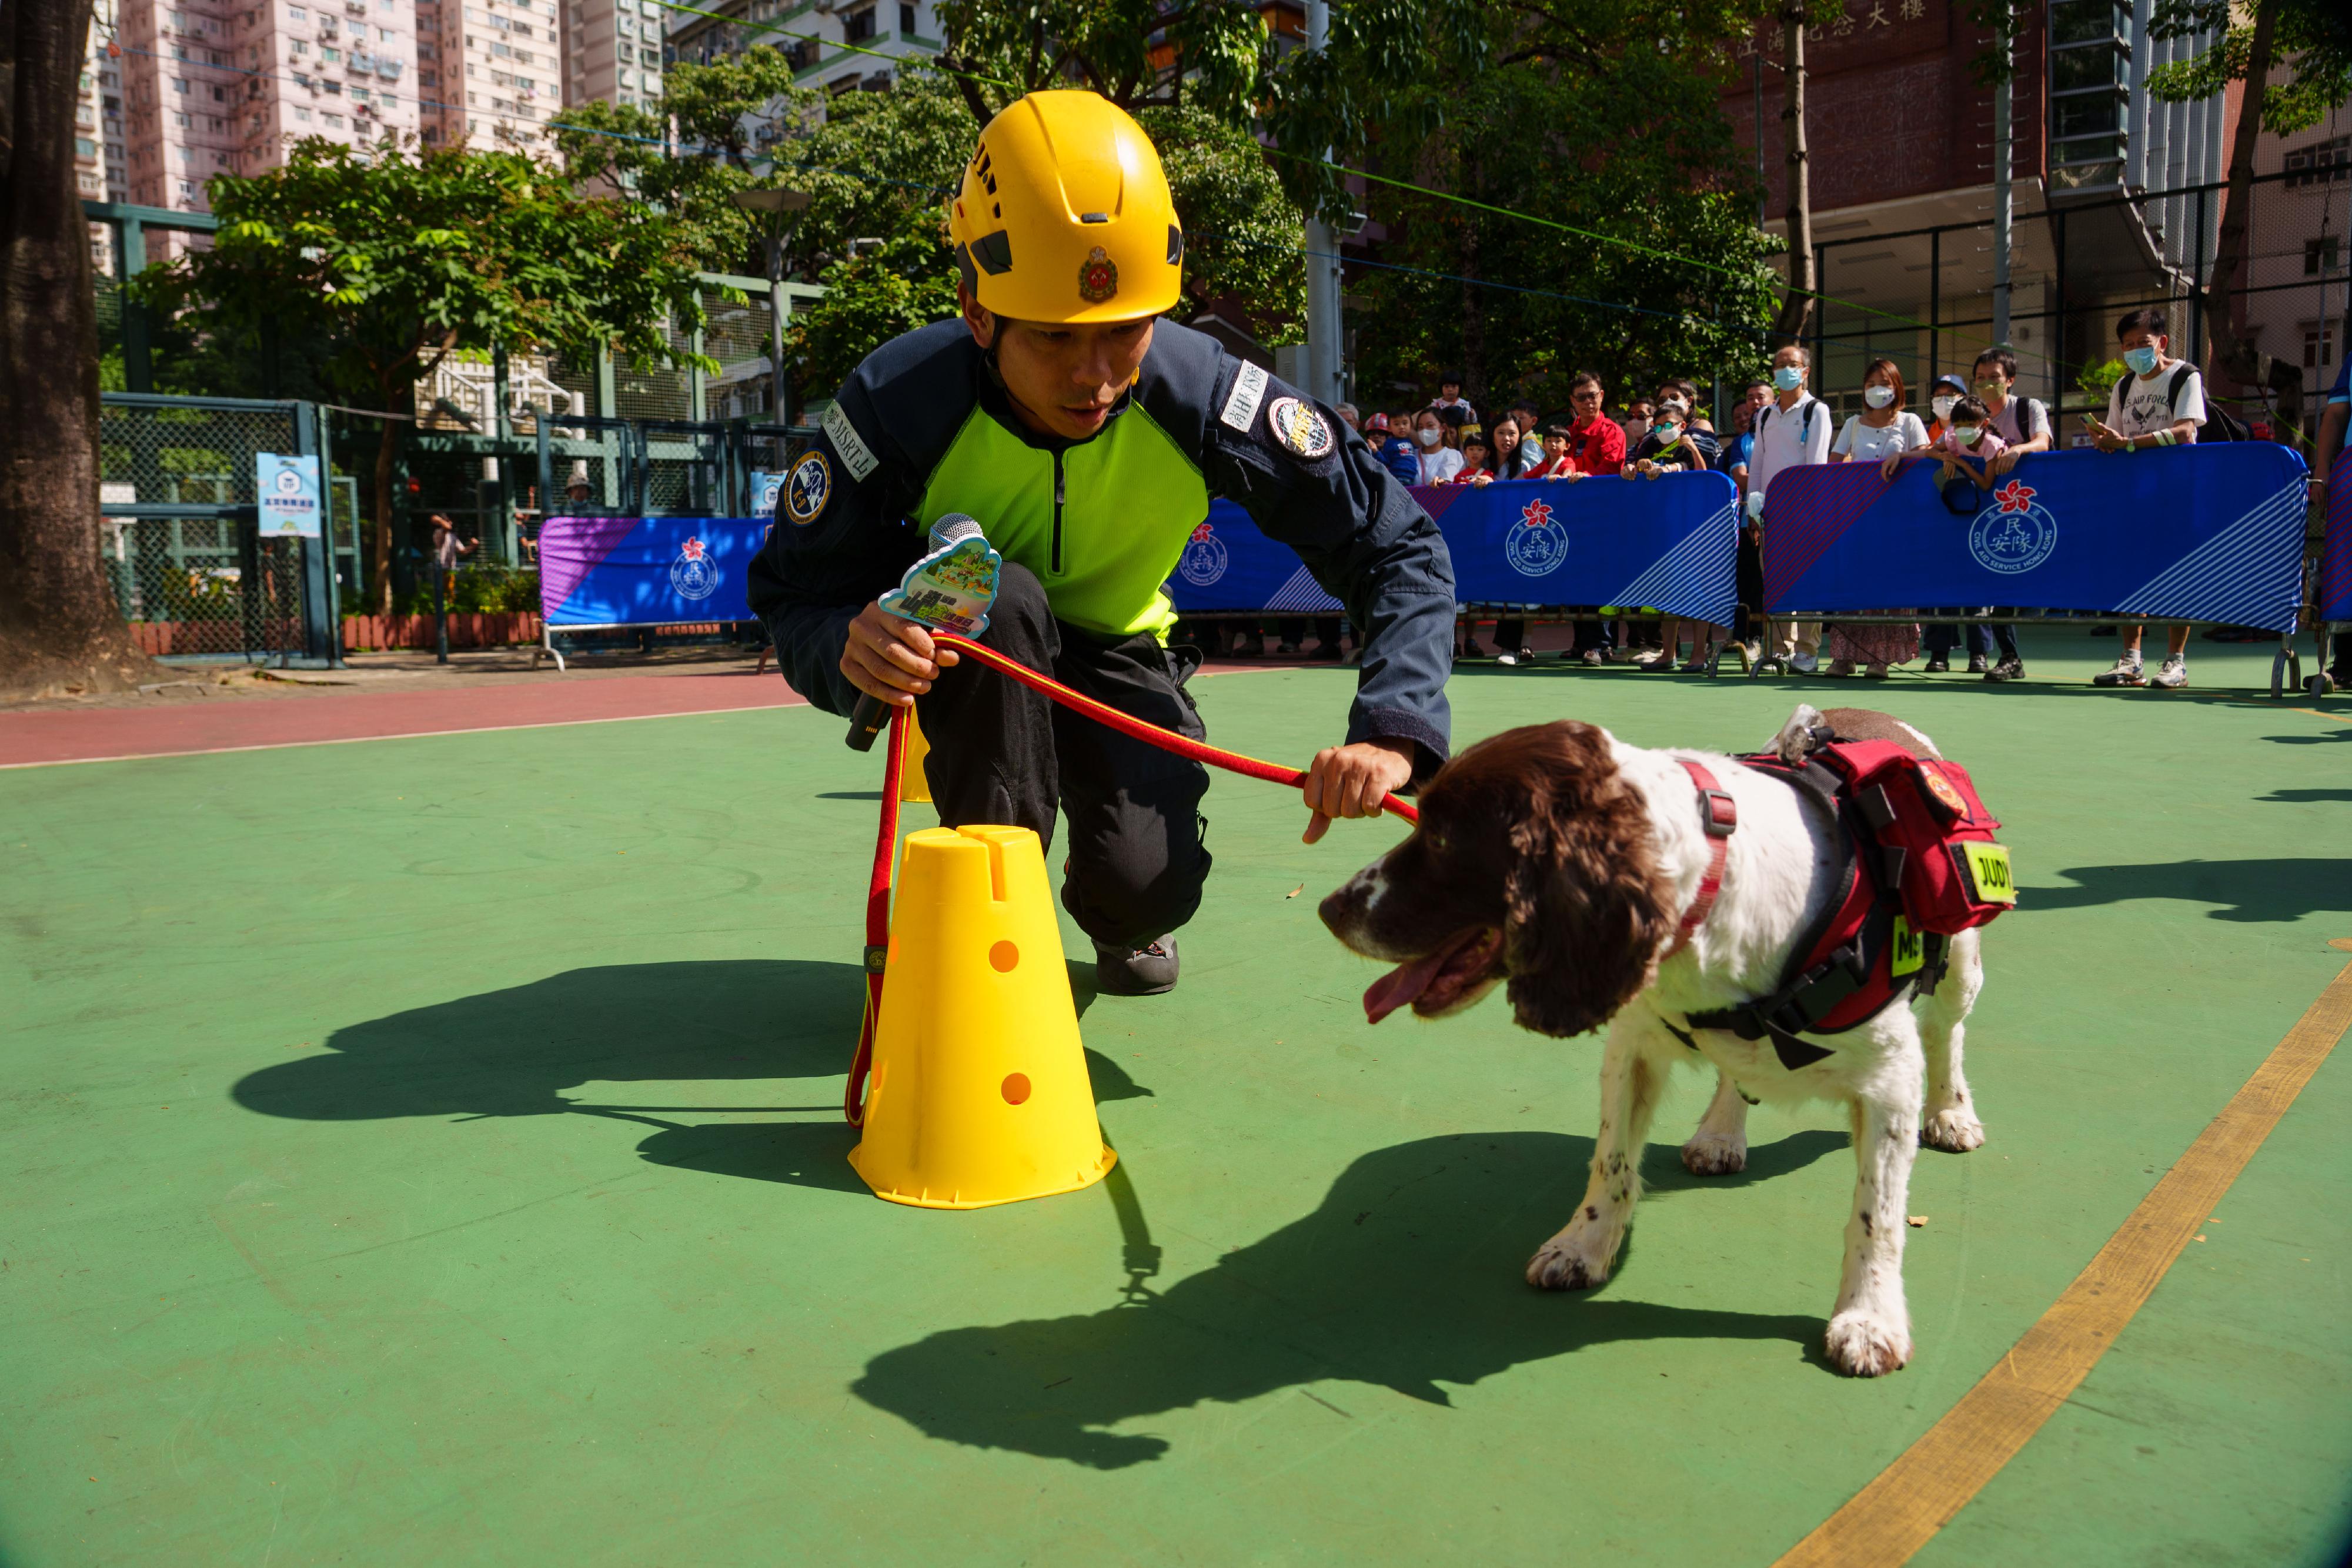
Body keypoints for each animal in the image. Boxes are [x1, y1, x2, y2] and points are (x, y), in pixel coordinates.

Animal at [1327, 705, 1985, 1382]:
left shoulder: (1889, 1082)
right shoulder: (1633, 1042)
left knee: (1947, 1032)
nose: (1329, 908)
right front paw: (1583, 1245)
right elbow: (1612, 1161)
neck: (1710, 895)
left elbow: (1876, 1214)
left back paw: (1952, 1112)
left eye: (1441, 839)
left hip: (1960, 963)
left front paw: (1869, 1318)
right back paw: (1721, 1132)